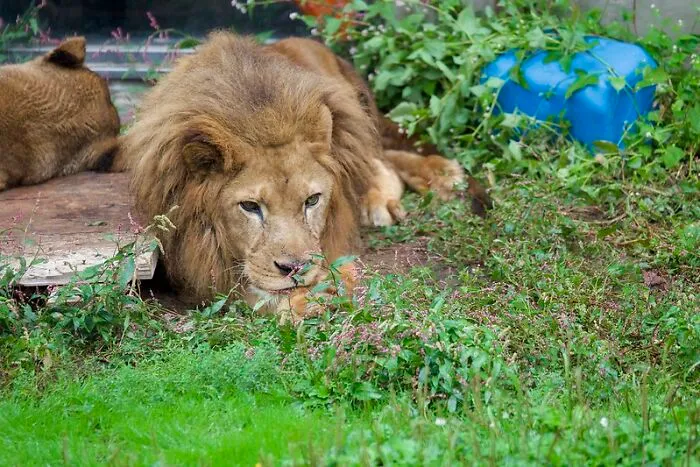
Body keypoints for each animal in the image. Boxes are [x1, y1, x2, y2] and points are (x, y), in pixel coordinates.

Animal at [116, 32, 491, 321]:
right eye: (250, 207)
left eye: (312, 200)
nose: (295, 269)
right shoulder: (190, 262)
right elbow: (251, 291)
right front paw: (310, 298)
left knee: (379, 159)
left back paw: (420, 186)